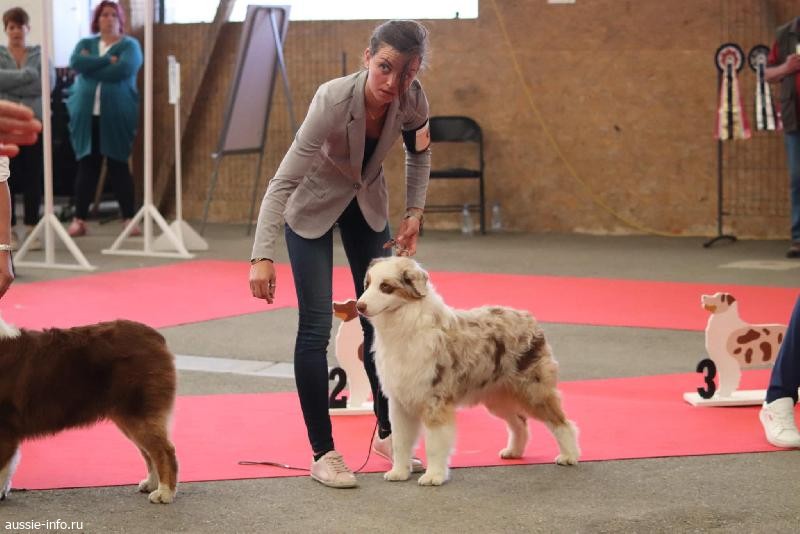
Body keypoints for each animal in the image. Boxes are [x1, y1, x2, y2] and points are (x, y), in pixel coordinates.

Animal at [0, 317, 178, 503]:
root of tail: (156, 337)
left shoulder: (4, 427)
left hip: (137, 411)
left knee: (164, 450)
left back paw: (164, 493)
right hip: (129, 416)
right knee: (149, 451)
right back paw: (151, 484)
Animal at [356, 257, 579, 486]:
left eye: (386, 287)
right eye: (367, 284)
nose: (359, 306)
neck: (405, 325)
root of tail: (527, 318)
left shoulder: (435, 400)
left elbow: (434, 444)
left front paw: (434, 476)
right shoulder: (400, 401)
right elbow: (400, 442)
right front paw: (399, 472)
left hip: (533, 390)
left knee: (562, 422)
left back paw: (569, 456)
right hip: (498, 397)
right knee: (519, 423)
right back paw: (514, 452)